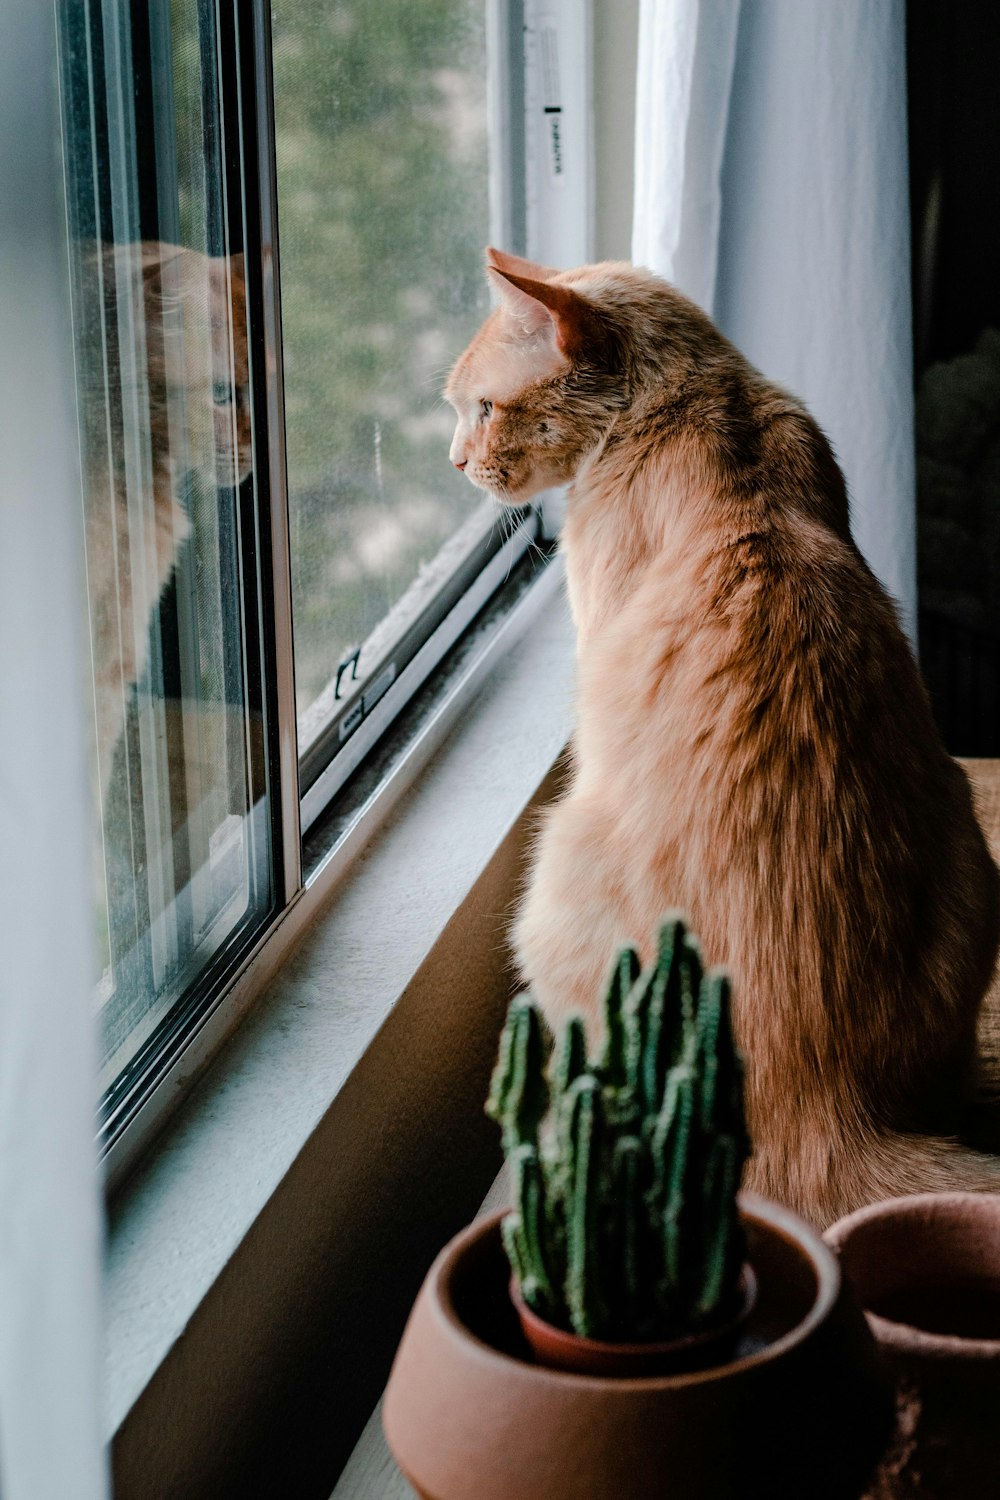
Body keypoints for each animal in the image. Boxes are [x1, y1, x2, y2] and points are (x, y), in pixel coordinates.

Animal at [449, 249, 1000, 1230]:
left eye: (481, 408)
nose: (456, 460)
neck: (709, 410)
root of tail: (827, 1112)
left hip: (553, 873)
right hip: (972, 846)